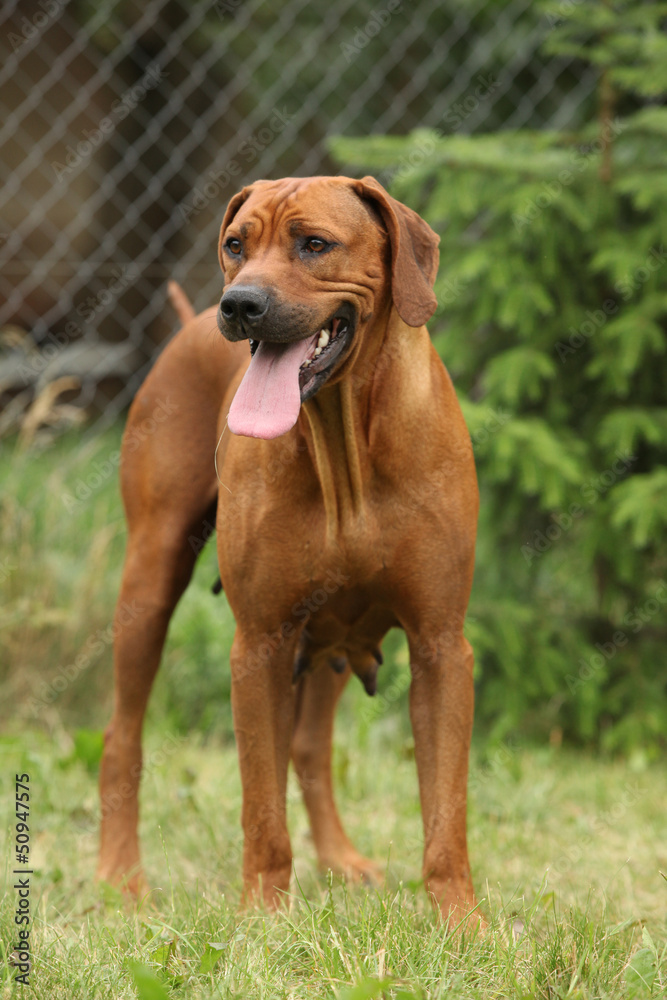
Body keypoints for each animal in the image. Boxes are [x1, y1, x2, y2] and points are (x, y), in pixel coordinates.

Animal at [98, 176, 480, 924]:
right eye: (234, 244)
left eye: (314, 244)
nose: (240, 304)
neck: (344, 443)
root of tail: (188, 323)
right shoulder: (262, 642)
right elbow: (261, 806)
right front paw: (263, 918)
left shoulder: (440, 645)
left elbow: (445, 812)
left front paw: (463, 924)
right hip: (148, 584)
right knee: (122, 736)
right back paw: (119, 877)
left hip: (334, 633)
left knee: (309, 746)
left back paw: (339, 860)